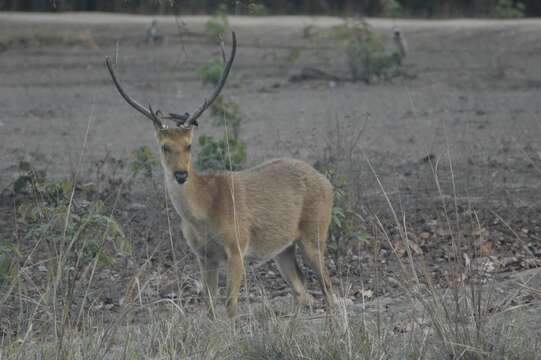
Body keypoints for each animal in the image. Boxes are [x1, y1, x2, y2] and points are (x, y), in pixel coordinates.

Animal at [104, 31, 334, 318]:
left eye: (189, 145)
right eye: (164, 146)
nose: (180, 174)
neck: (204, 213)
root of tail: (327, 182)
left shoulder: (237, 247)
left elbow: (230, 306)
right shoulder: (203, 256)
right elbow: (211, 306)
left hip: (315, 234)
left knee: (328, 288)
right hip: (284, 248)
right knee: (303, 290)